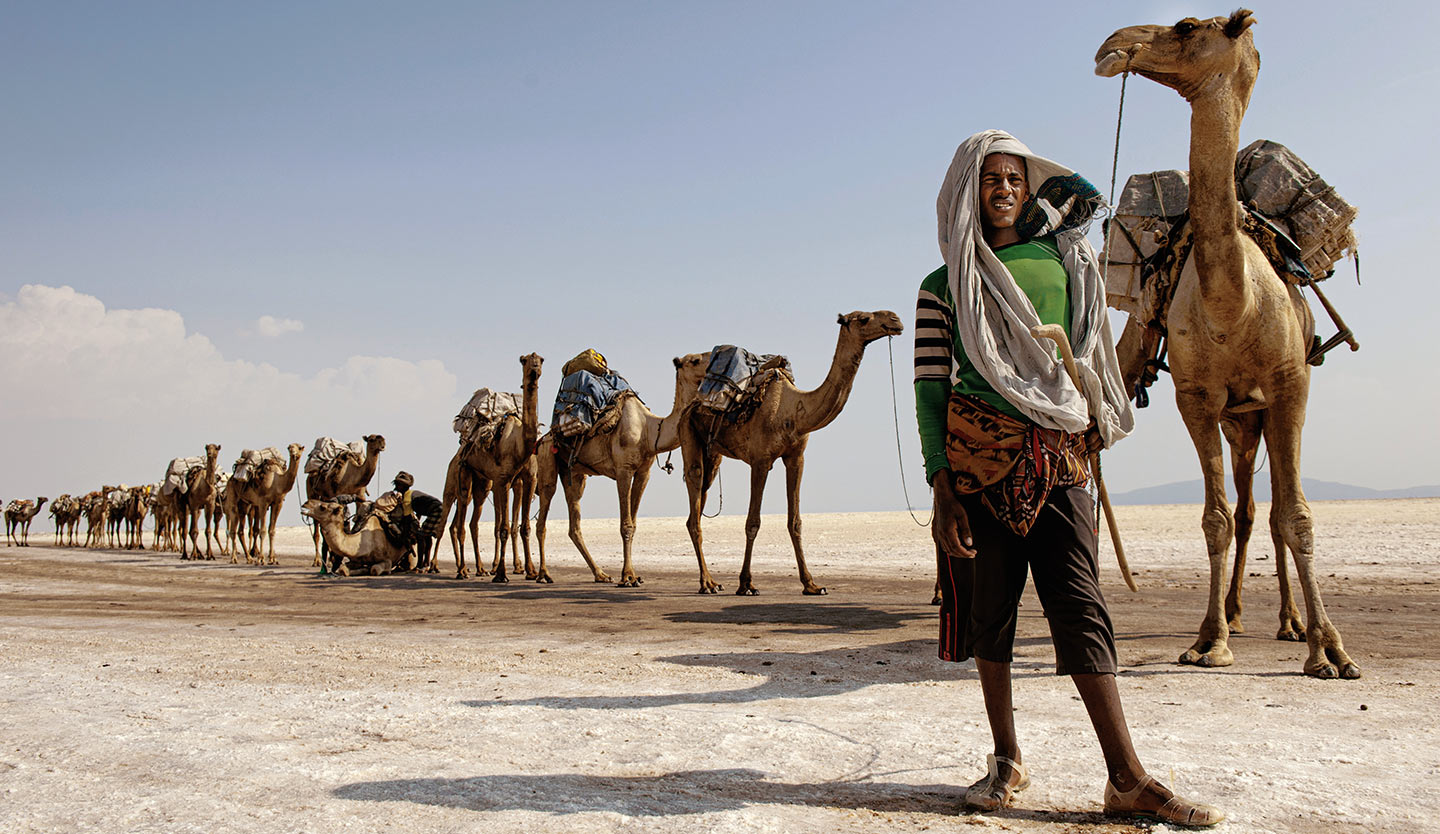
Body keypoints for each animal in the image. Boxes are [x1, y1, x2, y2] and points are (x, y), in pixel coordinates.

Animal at [303, 437, 385, 567]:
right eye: (372, 439)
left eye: (382, 438)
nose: (382, 444)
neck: (352, 475)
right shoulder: (337, 494)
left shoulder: (360, 495)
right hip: (311, 491)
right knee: (316, 530)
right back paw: (318, 561)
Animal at [434, 352, 541, 581]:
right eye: (524, 361)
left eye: (541, 359)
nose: (535, 369)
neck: (520, 444)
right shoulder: (503, 480)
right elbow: (503, 527)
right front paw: (501, 572)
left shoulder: (526, 480)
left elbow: (522, 527)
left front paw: (529, 570)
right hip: (459, 479)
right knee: (452, 524)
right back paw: (447, 568)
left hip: (481, 485)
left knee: (468, 524)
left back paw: (477, 568)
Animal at [532, 352, 711, 587]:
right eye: (695, 360)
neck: (649, 430)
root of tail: (545, 436)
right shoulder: (623, 470)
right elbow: (625, 525)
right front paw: (627, 576)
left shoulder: (644, 472)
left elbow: (633, 524)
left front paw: (633, 575)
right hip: (547, 459)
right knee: (543, 513)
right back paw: (544, 574)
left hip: (575, 474)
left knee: (574, 522)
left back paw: (600, 574)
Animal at [676, 311, 898, 593]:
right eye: (863, 318)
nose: (895, 320)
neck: (792, 410)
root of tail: (692, 404)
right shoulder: (760, 461)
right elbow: (753, 522)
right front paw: (746, 583)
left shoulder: (796, 458)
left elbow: (796, 522)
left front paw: (811, 584)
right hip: (689, 435)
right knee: (694, 504)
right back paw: (706, 583)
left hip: (713, 455)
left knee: (697, 508)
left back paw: (713, 581)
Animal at [1094, 9, 1353, 679]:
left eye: (1187, 26)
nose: (1113, 45)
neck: (1234, 306)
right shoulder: (1198, 396)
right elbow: (1215, 518)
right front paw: (1209, 639)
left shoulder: (1290, 385)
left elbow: (1299, 514)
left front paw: (1331, 649)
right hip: (1241, 420)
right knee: (1247, 510)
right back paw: (1240, 615)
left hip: (1263, 409)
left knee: (1274, 510)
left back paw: (1291, 624)